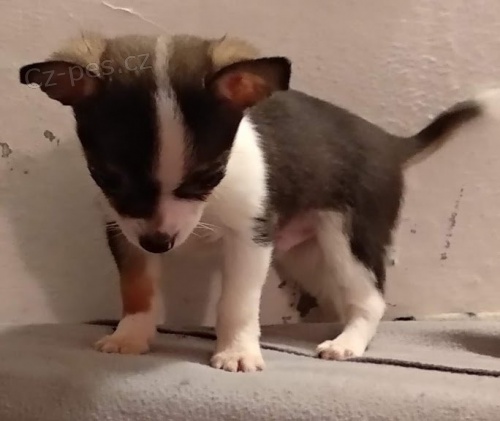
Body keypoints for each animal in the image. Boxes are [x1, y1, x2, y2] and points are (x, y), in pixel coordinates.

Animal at [20, 32, 499, 372]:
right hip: (304, 254)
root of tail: (389, 142)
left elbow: (236, 303)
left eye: (209, 175)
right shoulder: (126, 232)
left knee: (371, 299)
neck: (208, 205)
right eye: (108, 178)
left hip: (347, 241)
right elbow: (137, 289)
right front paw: (131, 336)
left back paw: (347, 343)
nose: (160, 244)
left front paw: (236, 352)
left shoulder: (251, 240)